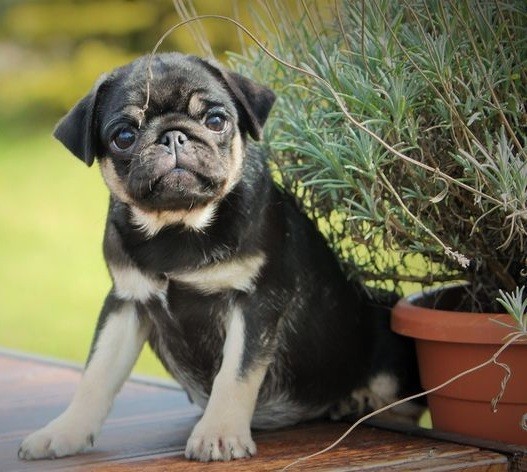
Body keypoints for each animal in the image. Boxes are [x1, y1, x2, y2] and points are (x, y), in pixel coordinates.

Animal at [17, 51, 424, 460]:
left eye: (215, 121)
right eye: (124, 137)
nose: (173, 135)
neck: (177, 227)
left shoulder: (254, 301)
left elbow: (235, 374)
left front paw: (219, 433)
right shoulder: (126, 303)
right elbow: (96, 374)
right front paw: (65, 431)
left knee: (404, 407)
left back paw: (360, 399)